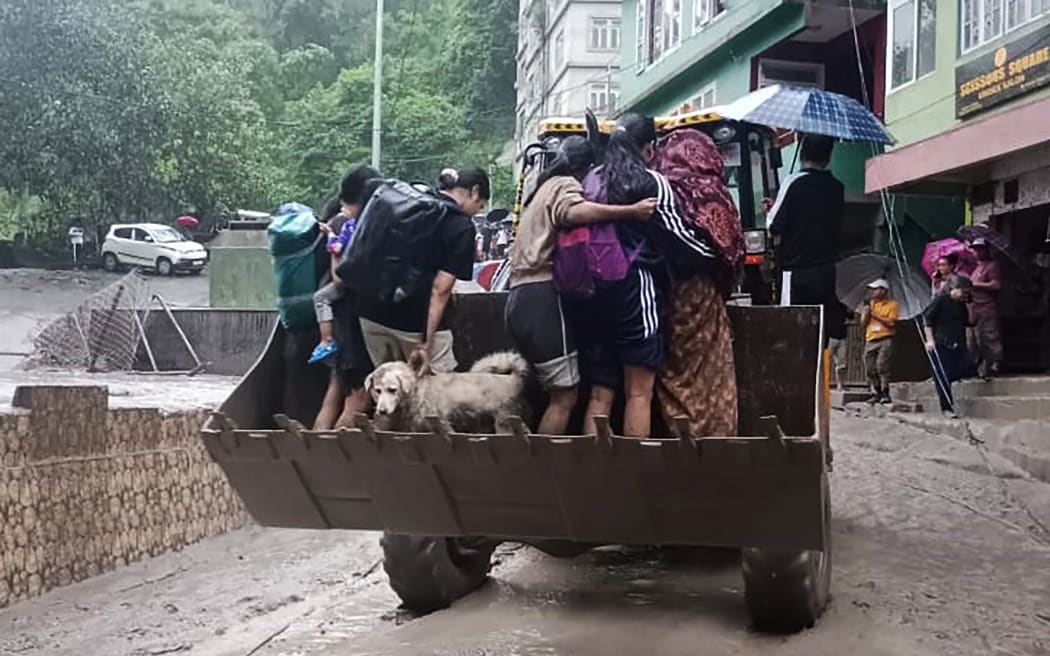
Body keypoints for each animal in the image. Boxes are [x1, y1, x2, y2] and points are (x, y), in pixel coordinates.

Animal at [365, 350, 529, 432]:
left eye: (392, 390)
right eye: (377, 390)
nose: (381, 411)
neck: (419, 393)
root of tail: (514, 378)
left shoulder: (441, 425)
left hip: (505, 420)